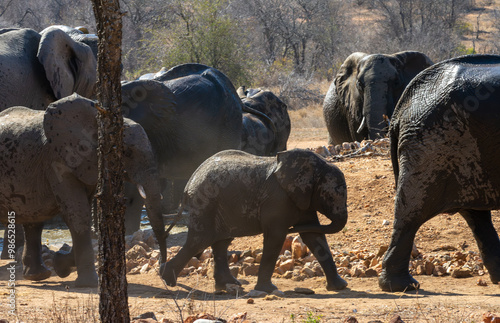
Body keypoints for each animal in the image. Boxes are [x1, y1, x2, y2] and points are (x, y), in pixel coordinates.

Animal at [0, 95, 166, 288]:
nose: (163, 273)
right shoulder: (57, 161)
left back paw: (38, 276)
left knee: (34, 220)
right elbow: (77, 214)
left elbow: (81, 210)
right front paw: (89, 283)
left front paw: (61, 264)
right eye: (128, 153)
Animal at [162, 149, 350, 294]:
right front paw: (268, 290)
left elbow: (313, 236)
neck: (316, 165)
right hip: (204, 203)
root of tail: (190, 180)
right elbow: (276, 236)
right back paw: (168, 280)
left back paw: (227, 285)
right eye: (331, 196)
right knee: (200, 240)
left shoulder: (303, 196)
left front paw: (340, 287)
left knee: (220, 242)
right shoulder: (278, 200)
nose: (293, 229)